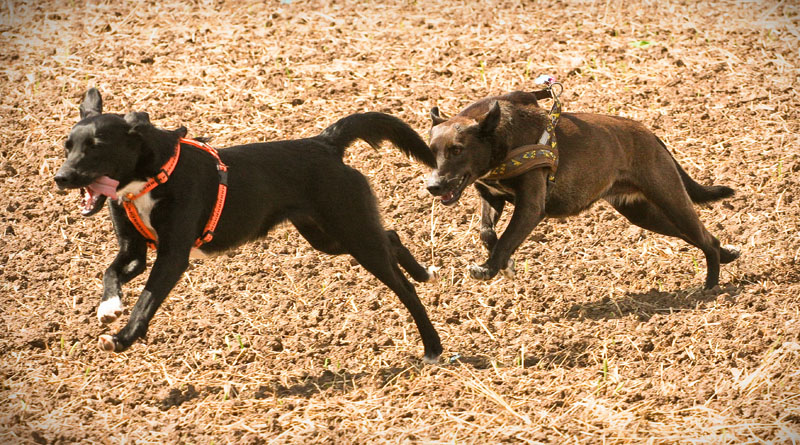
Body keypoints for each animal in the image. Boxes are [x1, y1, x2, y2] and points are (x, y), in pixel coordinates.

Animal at [56, 88, 444, 362]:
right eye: (67, 145)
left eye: (96, 146)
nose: (61, 178)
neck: (150, 178)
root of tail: (324, 143)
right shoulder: (134, 250)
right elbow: (110, 272)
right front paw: (109, 307)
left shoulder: (173, 256)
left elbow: (147, 301)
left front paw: (122, 338)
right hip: (327, 236)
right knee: (390, 236)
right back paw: (424, 273)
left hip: (352, 232)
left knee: (404, 288)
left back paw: (433, 346)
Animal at [428, 92, 740, 290]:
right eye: (432, 151)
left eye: (457, 150)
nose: (433, 186)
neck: (500, 137)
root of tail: (650, 134)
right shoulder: (492, 197)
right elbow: (487, 232)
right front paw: (504, 265)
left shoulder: (530, 207)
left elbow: (505, 239)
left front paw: (490, 267)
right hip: (644, 213)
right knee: (706, 238)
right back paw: (727, 256)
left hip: (670, 199)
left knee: (703, 238)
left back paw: (711, 287)